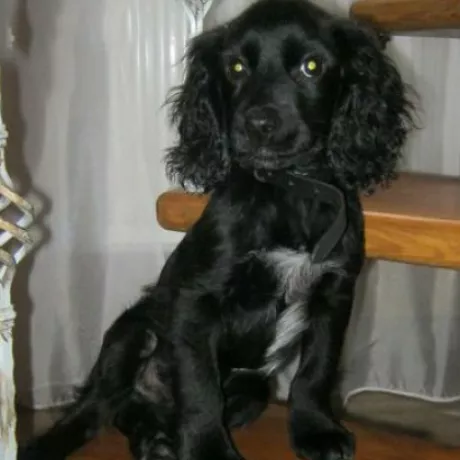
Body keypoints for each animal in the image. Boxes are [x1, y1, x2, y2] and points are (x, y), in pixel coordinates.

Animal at [20, 1, 416, 459]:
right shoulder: (196, 300)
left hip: (251, 388)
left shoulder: (334, 293)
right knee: (95, 408)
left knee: (136, 411)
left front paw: (316, 429)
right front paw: (210, 450)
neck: (287, 189)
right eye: (237, 67)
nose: (258, 124)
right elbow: (199, 390)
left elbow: (316, 370)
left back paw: (155, 440)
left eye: (312, 66)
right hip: (130, 334)